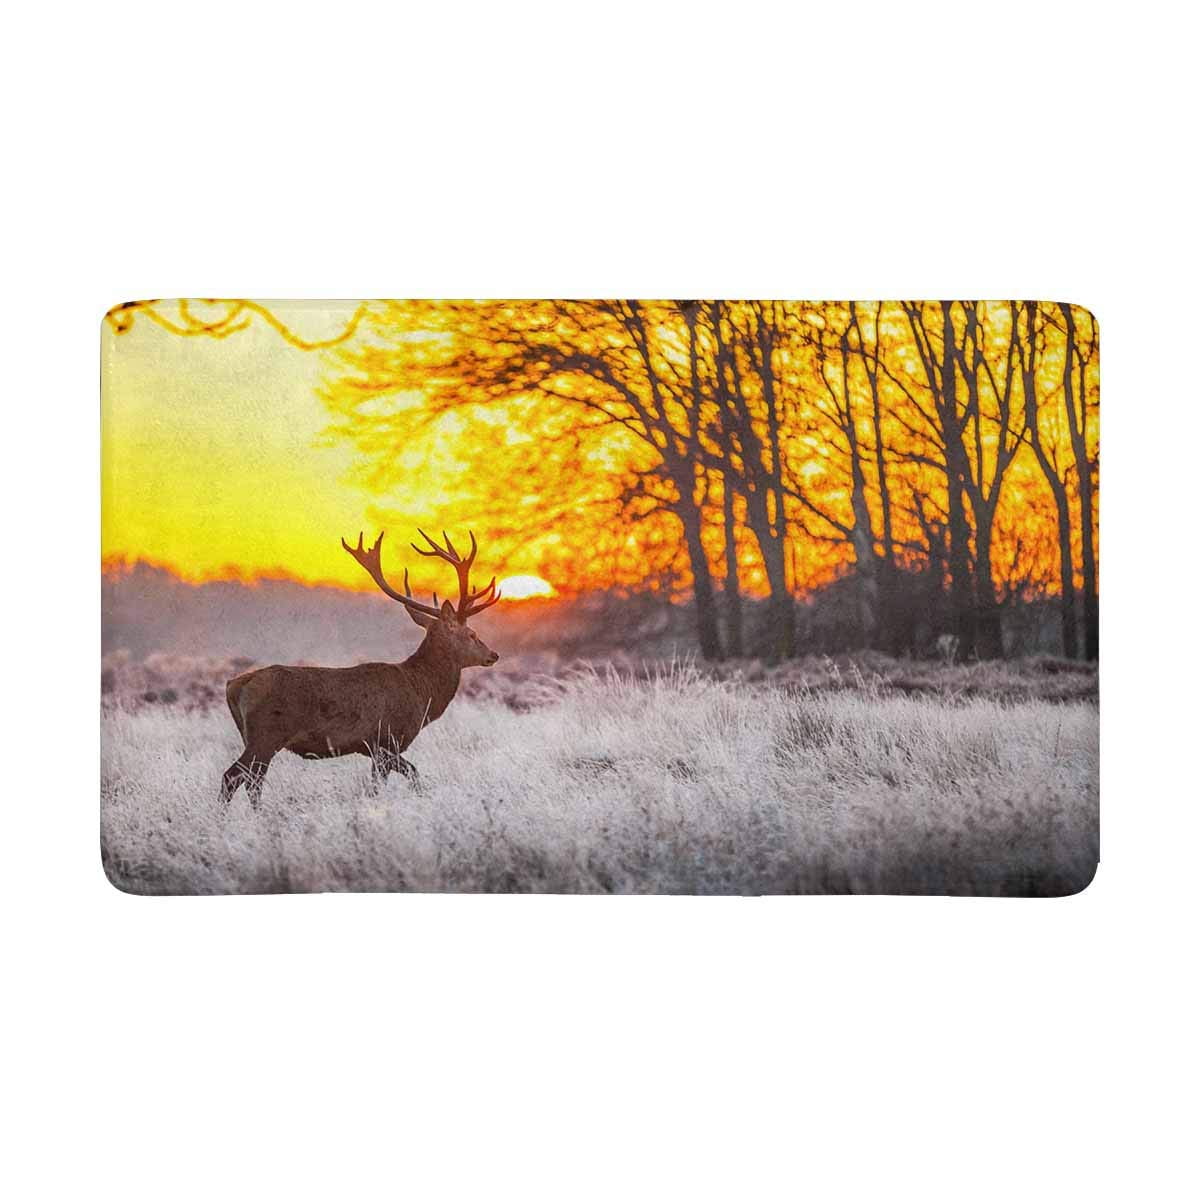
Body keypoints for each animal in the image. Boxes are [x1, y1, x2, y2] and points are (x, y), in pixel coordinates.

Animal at [219, 528, 502, 806]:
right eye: (472, 634)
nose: (493, 654)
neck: (421, 693)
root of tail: (234, 685)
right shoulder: (385, 740)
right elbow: (411, 774)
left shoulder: (376, 750)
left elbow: (381, 785)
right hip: (266, 735)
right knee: (235, 777)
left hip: (253, 737)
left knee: (249, 780)